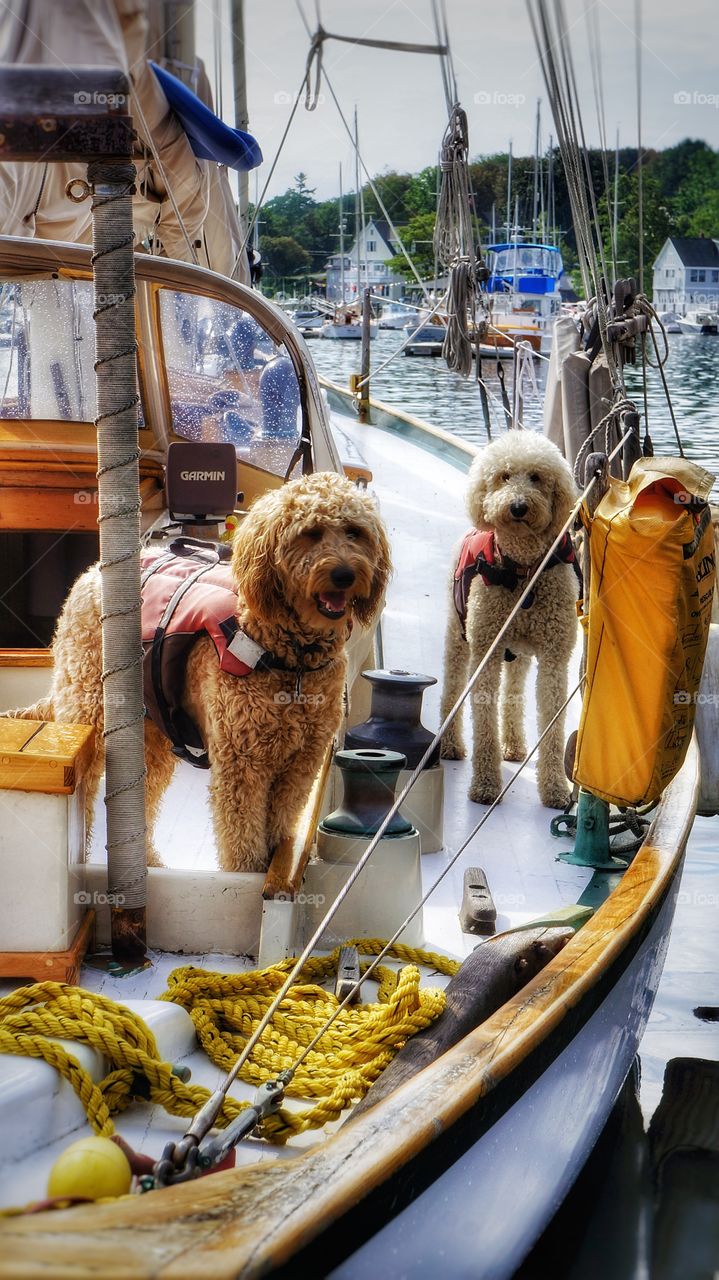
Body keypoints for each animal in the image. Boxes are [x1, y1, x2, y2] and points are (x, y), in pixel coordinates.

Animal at [8, 476, 388, 875]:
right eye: (310, 533)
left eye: (354, 532)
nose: (345, 575)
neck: (291, 657)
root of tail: (91, 574)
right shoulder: (242, 764)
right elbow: (242, 841)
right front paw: (249, 875)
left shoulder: (301, 763)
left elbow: (280, 823)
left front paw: (275, 864)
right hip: (90, 710)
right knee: (84, 796)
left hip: (152, 737)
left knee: (144, 797)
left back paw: (148, 861)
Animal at [440, 430, 578, 808]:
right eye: (503, 475)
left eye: (537, 477)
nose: (518, 507)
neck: (524, 570)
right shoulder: (485, 653)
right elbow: (483, 725)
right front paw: (486, 786)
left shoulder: (554, 659)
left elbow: (553, 728)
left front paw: (555, 789)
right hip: (459, 638)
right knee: (451, 689)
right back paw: (450, 744)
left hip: (520, 654)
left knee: (514, 695)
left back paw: (514, 746)